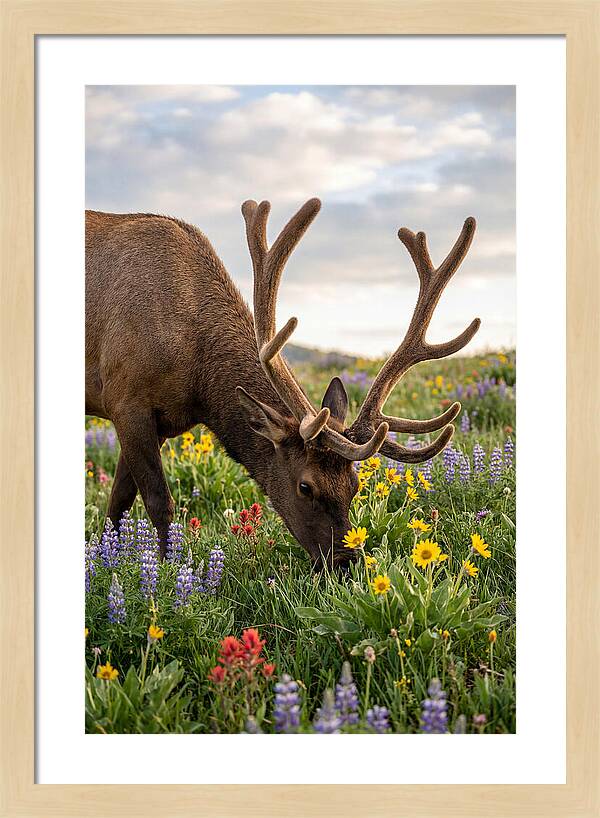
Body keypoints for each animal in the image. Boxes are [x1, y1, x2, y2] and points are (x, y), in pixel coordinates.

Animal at [85, 198, 480, 567]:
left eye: (354, 485)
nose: (345, 563)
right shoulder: (126, 399)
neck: (199, 381)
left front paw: (108, 559)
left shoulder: (162, 421)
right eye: (305, 486)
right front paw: (166, 571)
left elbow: (118, 502)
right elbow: (157, 502)